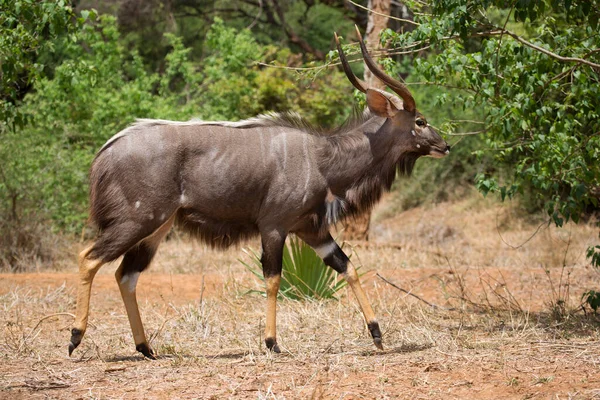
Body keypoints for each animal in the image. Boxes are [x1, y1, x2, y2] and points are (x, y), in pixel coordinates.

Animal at [68, 28, 448, 360]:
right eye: (420, 121)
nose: (445, 145)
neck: (323, 159)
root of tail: (104, 155)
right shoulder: (274, 227)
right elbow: (273, 279)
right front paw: (272, 342)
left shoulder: (312, 230)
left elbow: (347, 266)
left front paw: (377, 334)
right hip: (139, 220)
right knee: (89, 257)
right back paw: (75, 337)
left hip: (156, 230)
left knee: (125, 275)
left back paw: (146, 348)